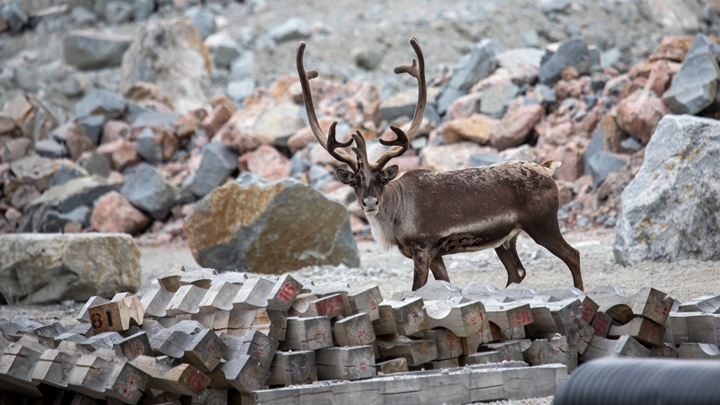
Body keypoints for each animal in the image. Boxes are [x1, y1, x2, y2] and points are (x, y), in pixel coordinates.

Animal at [295, 37, 584, 291]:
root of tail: (547, 168)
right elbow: (444, 283)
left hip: (542, 224)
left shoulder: (424, 249)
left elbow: (416, 289)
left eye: (382, 180)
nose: (369, 202)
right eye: (355, 181)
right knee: (518, 272)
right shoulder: (436, 255)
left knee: (572, 255)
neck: (397, 212)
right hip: (506, 239)